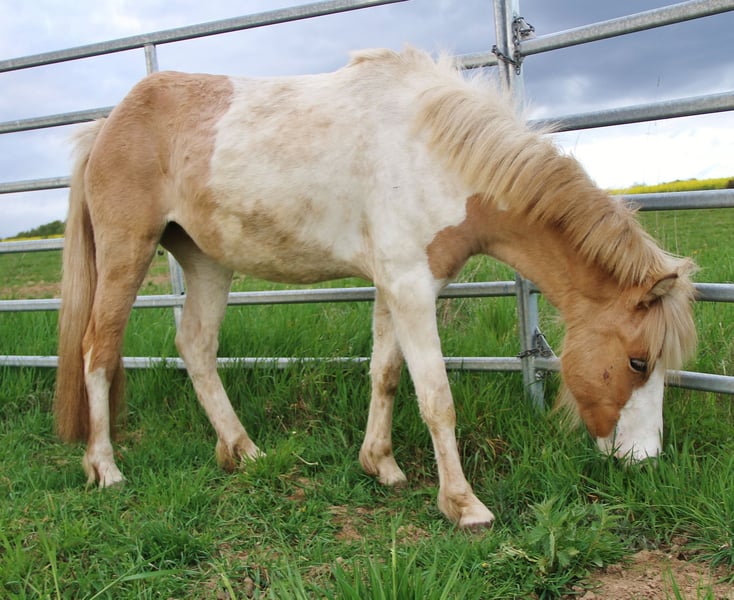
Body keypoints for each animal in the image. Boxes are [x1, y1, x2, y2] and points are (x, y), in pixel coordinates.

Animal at [54, 46, 696, 529]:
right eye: (638, 362)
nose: (645, 461)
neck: (433, 155)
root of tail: (107, 124)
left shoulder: (394, 286)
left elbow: (385, 375)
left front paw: (380, 465)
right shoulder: (412, 289)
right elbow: (436, 397)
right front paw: (464, 506)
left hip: (207, 261)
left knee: (196, 348)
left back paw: (244, 452)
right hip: (126, 250)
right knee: (98, 351)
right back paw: (106, 469)